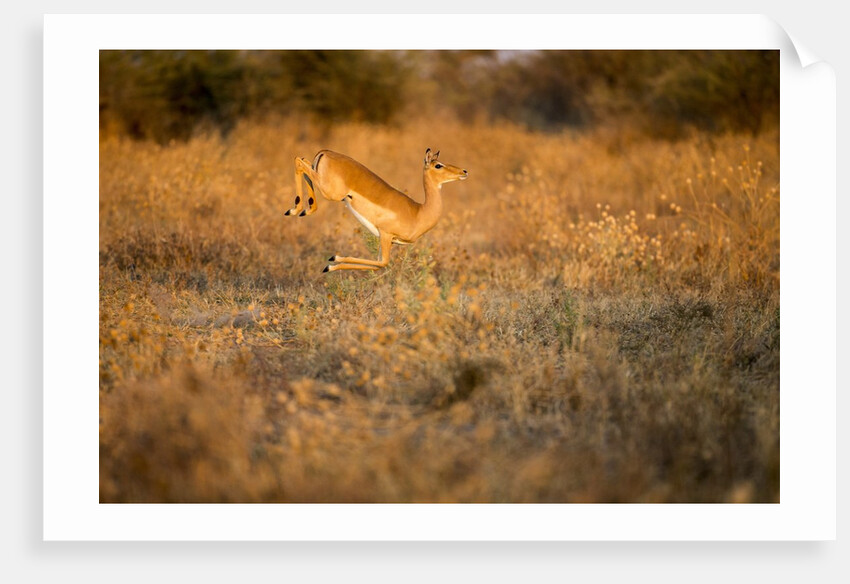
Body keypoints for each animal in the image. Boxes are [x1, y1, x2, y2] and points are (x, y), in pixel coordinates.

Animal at [285, 148, 468, 272]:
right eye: (438, 165)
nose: (464, 171)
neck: (419, 212)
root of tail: (326, 152)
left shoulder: (388, 240)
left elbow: (378, 263)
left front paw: (332, 260)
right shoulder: (385, 235)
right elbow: (382, 263)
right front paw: (330, 264)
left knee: (302, 159)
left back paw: (302, 210)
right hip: (331, 193)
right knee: (298, 161)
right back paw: (296, 210)